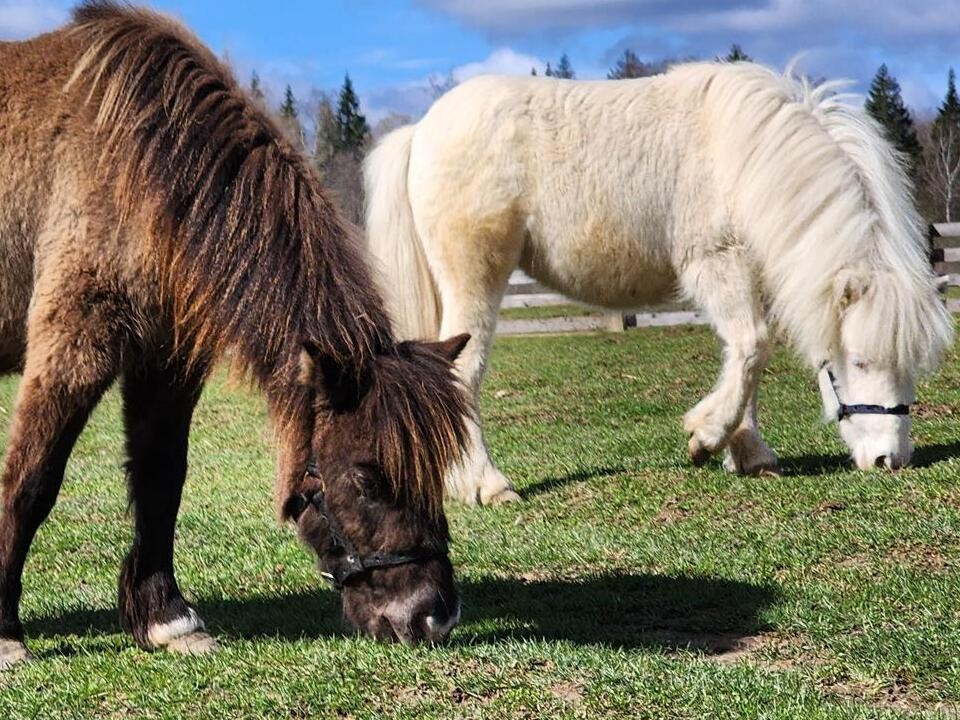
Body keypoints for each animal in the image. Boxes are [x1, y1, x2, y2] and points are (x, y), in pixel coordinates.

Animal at [0, 0, 468, 668]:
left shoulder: (167, 360)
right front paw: (5, 633)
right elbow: (31, 481)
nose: (434, 617)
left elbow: (162, 477)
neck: (139, 162)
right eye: (368, 480)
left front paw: (167, 619)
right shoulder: (75, 342)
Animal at [366, 62, 952, 504]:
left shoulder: (748, 274)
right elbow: (752, 347)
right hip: (476, 279)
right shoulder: (715, 263)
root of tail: (421, 130)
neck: (745, 155)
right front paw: (706, 436)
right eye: (862, 362)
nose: (891, 459)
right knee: (462, 373)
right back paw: (486, 485)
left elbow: (747, 362)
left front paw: (748, 451)